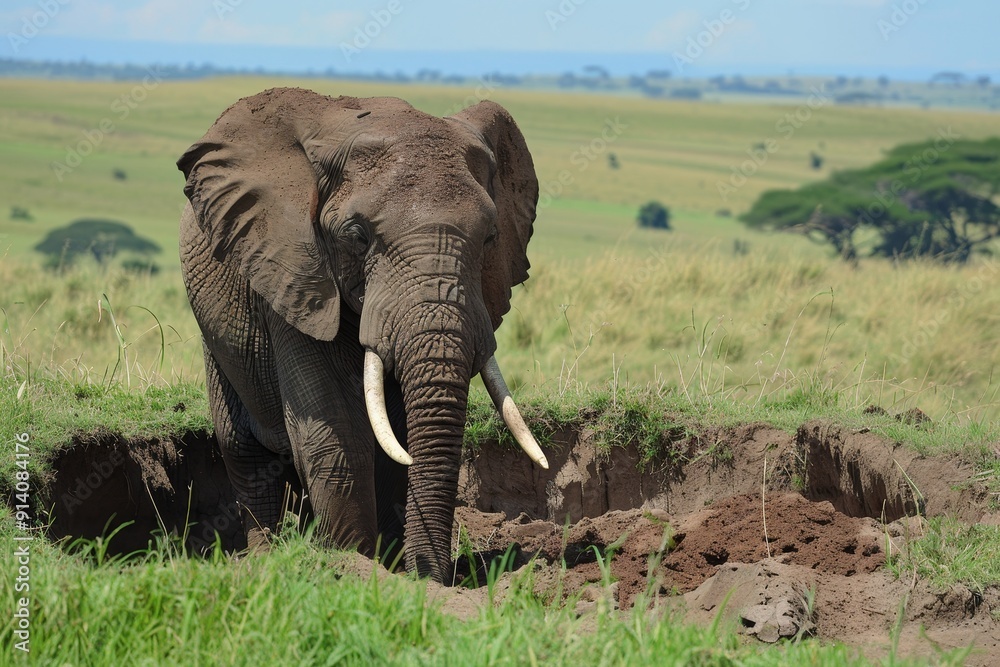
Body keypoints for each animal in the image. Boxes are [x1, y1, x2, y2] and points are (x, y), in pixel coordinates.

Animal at [177, 87, 548, 582]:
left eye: (490, 237)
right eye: (357, 237)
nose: (436, 578)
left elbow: (394, 439)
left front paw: (394, 568)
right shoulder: (295, 274)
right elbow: (338, 432)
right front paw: (351, 565)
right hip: (215, 327)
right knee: (243, 448)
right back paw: (265, 555)